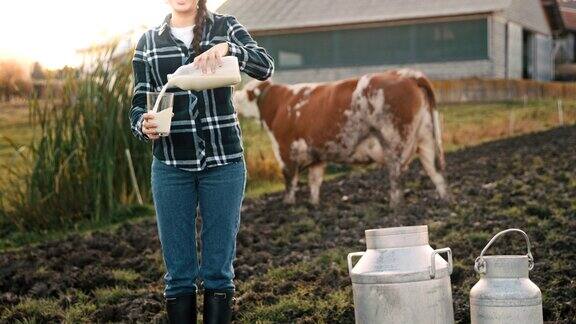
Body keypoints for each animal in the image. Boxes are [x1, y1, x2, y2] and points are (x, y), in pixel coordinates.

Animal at [233, 69, 450, 206]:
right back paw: (444, 201)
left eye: (244, 94)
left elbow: (290, 181)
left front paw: (288, 204)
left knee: (397, 177)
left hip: (394, 141)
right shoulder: (317, 155)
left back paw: (395, 207)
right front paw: (313, 204)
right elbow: (314, 181)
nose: (234, 97)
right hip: (426, 139)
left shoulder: (284, 150)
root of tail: (406, 74)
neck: (279, 105)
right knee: (436, 173)